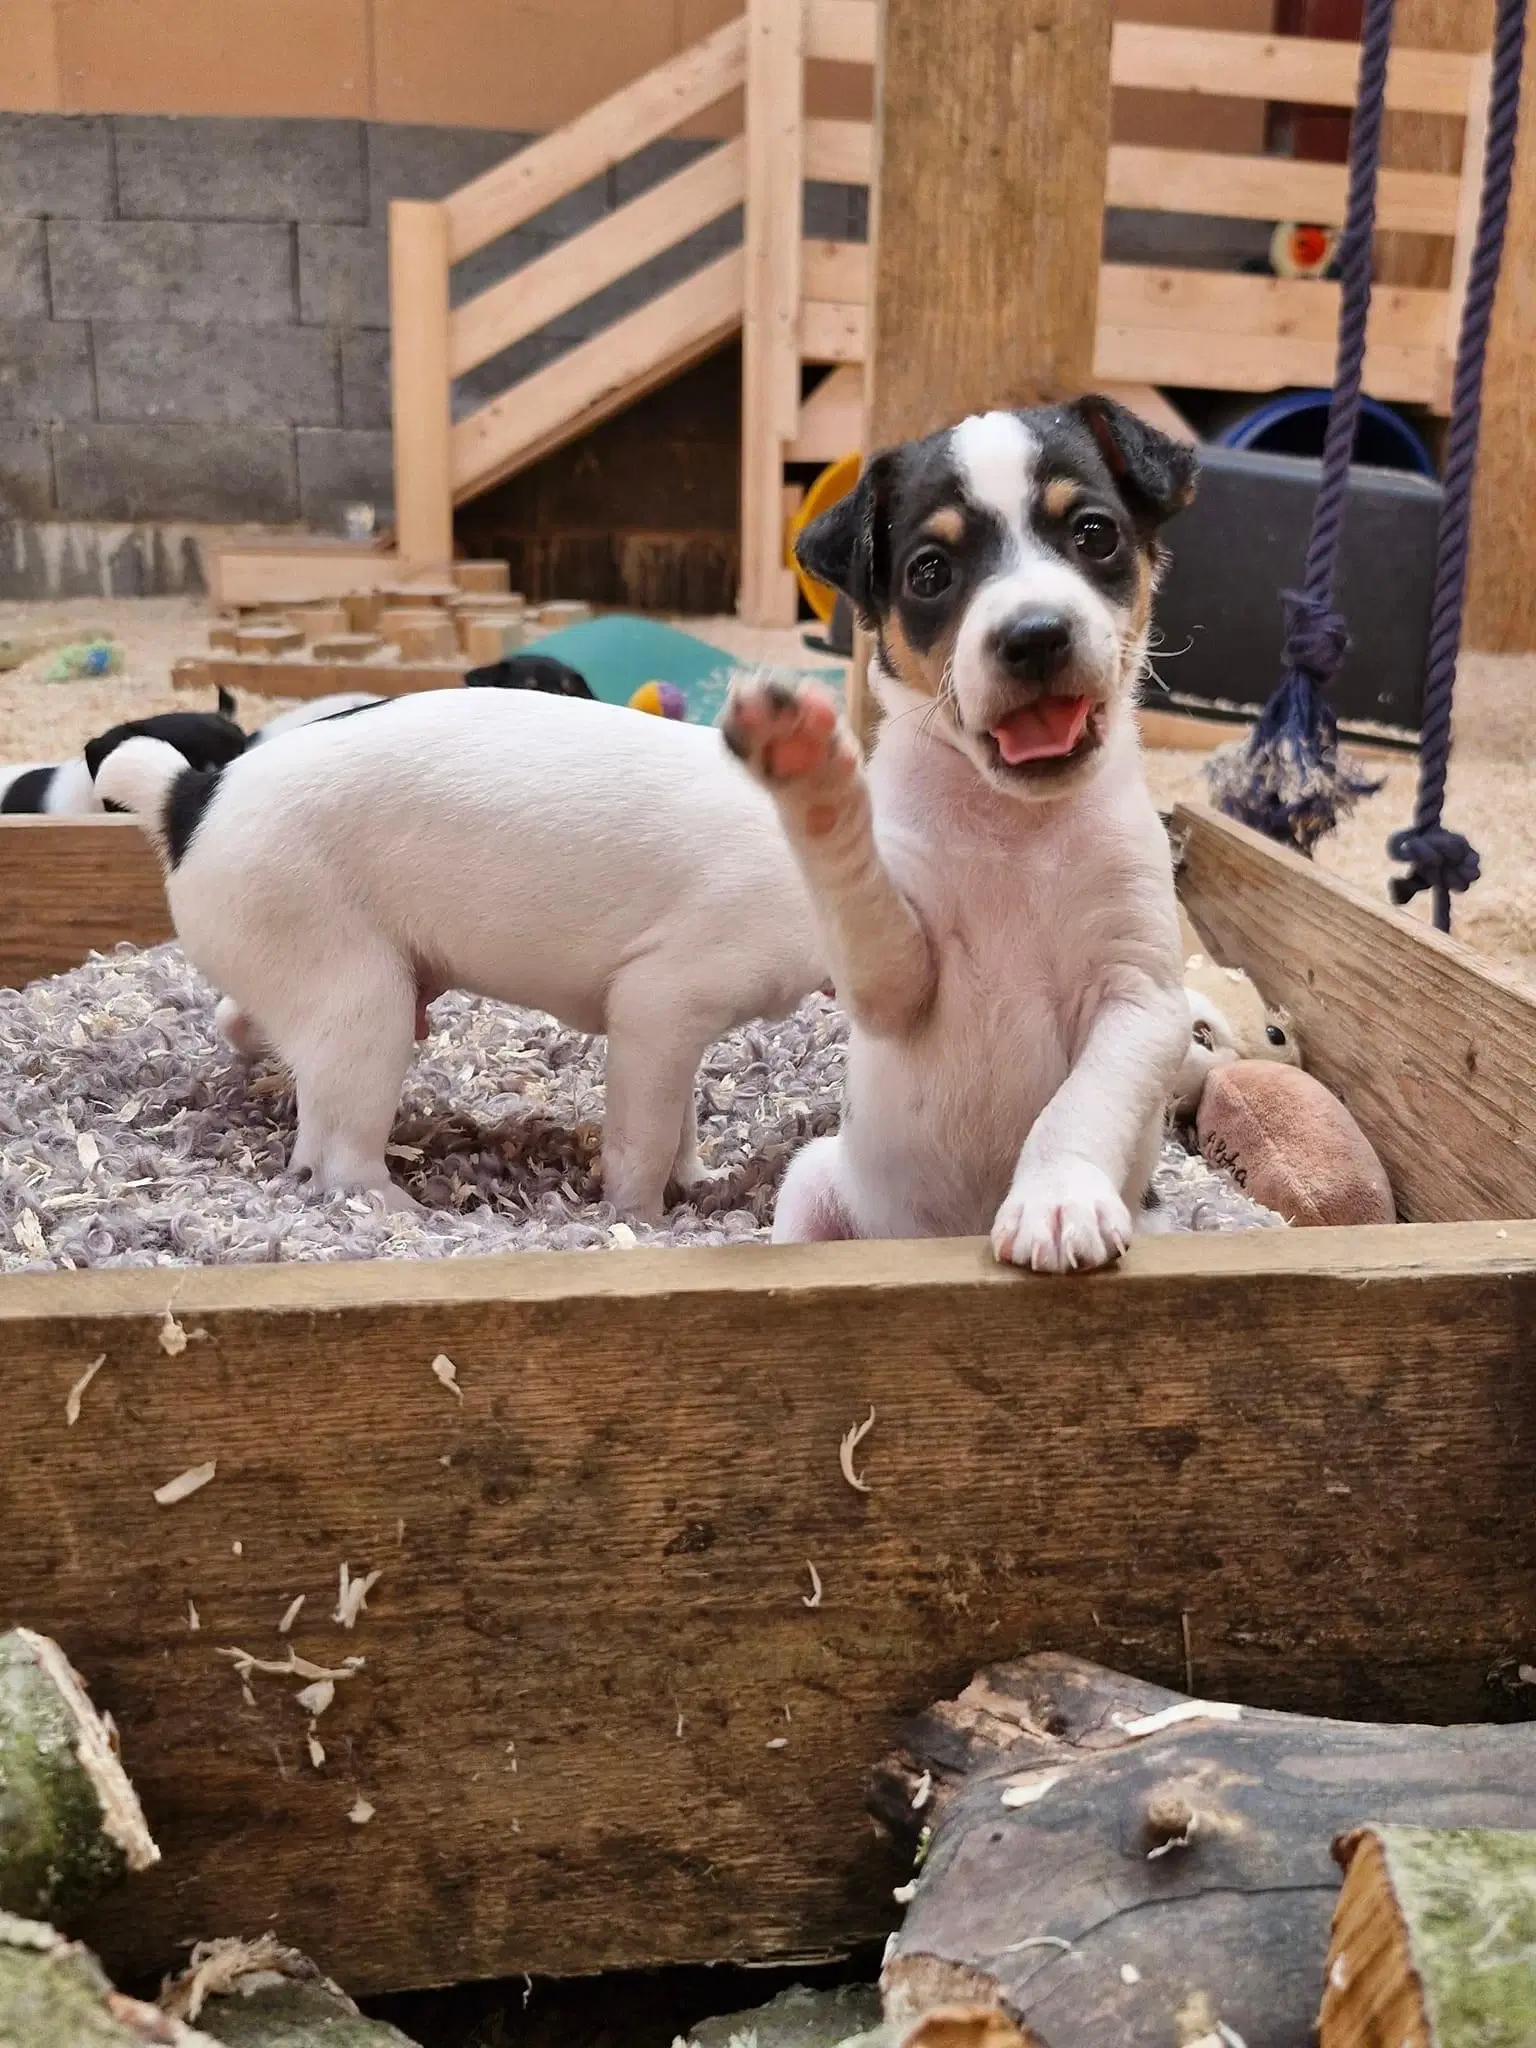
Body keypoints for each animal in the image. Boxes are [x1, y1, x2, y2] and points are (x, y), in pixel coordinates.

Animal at [96, 696, 831, 1220]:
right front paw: (643, 1222)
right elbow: (644, 1140)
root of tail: (188, 799)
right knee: (342, 1158)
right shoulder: (659, 1005)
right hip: (365, 1004)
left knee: (258, 1041)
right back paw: (407, 1213)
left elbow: (681, 1125)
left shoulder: (672, 1035)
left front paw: (700, 1183)